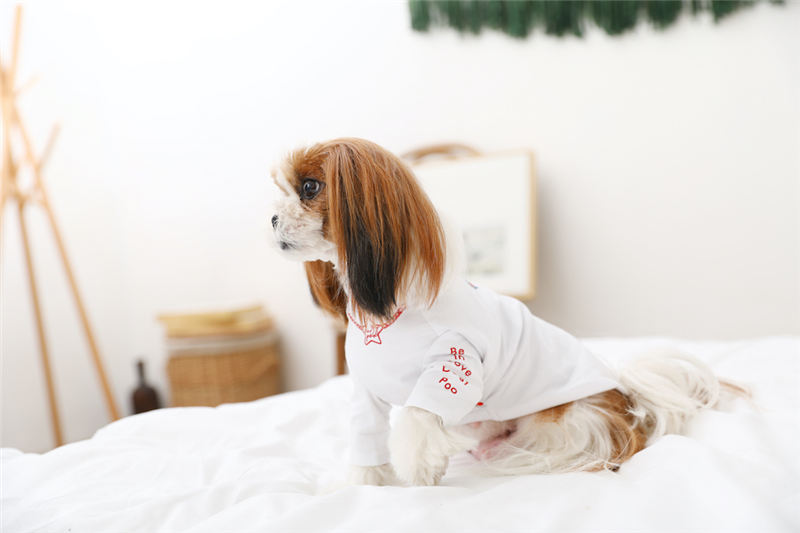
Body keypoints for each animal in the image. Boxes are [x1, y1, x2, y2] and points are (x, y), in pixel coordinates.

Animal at [270, 137, 736, 486]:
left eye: (309, 188)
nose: (272, 219)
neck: (391, 308)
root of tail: (626, 395)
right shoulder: (366, 388)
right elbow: (367, 436)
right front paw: (367, 483)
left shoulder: (451, 369)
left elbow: (418, 423)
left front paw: (419, 473)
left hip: (563, 423)